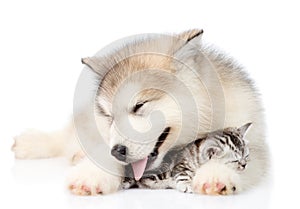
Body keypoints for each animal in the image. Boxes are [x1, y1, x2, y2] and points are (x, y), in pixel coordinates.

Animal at [123, 122, 252, 193]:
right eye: (235, 161)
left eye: (246, 156)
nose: (244, 165)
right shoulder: (178, 165)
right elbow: (183, 175)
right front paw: (188, 185)